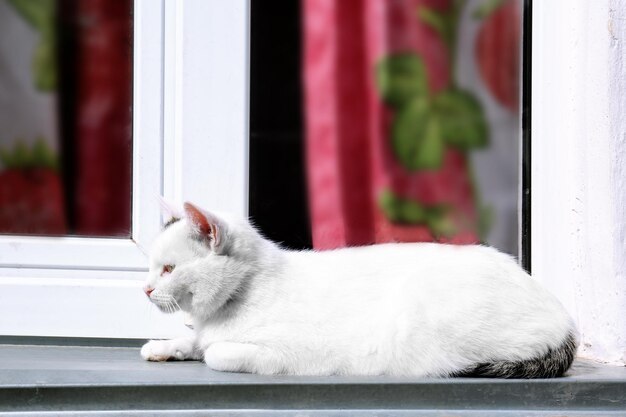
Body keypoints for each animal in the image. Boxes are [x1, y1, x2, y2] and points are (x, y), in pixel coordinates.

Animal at [140, 202, 576, 376]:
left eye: (168, 269)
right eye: (151, 268)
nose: (144, 289)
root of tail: (565, 320)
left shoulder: (298, 354)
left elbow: (217, 352)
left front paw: (205, 348)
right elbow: (196, 341)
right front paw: (164, 346)